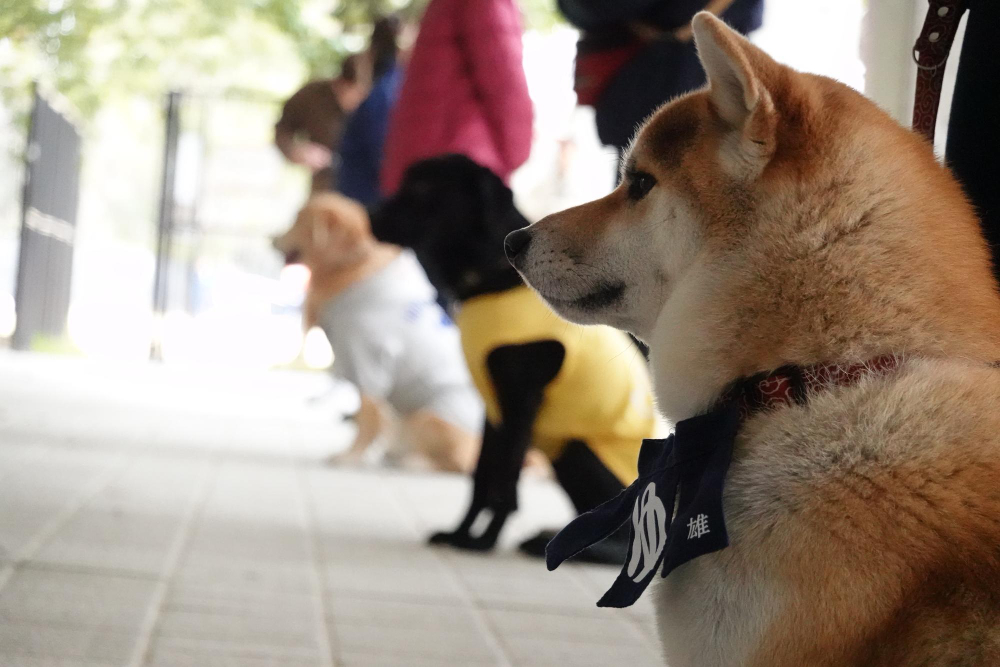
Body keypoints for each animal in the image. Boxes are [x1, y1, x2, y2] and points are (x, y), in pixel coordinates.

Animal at [368, 154, 648, 560]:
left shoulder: (520, 404)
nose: (369, 216)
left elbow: (504, 485)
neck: (491, 277)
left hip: (577, 449)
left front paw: (482, 543)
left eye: (421, 189)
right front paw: (460, 534)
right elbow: (482, 479)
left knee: (622, 531)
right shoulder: (493, 409)